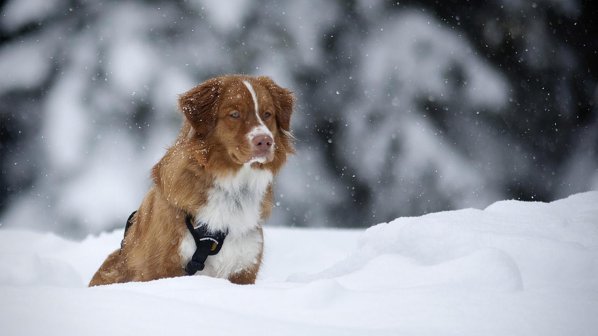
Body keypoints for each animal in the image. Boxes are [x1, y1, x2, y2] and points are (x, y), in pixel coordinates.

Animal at [89, 75, 296, 284]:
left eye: (267, 114)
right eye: (235, 114)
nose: (265, 141)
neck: (232, 187)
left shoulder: (244, 269)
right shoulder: (161, 269)